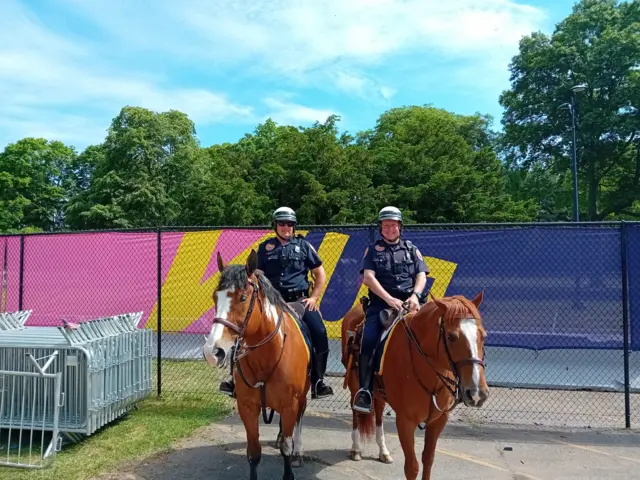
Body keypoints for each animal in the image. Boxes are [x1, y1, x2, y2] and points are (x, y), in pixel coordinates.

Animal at [201, 249, 308, 478]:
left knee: (299, 420)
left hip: (303, 396)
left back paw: (297, 453)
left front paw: (290, 461)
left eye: (243, 297)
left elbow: (286, 447)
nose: (213, 352)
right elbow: (254, 453)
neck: (267, 358)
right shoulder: (247, 407)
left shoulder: (290, 404)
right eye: (215, 297)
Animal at [342, 290, 488, 478]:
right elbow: (412, 467)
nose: (477, 393)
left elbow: (428, 459)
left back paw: (383, 451)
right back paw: (356, 449)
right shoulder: (405, 421)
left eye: (483, 336)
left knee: (379, 413)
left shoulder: (439, 420)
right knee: (356, 413)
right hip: (355, 385)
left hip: (379, 391)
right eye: (451, 337)